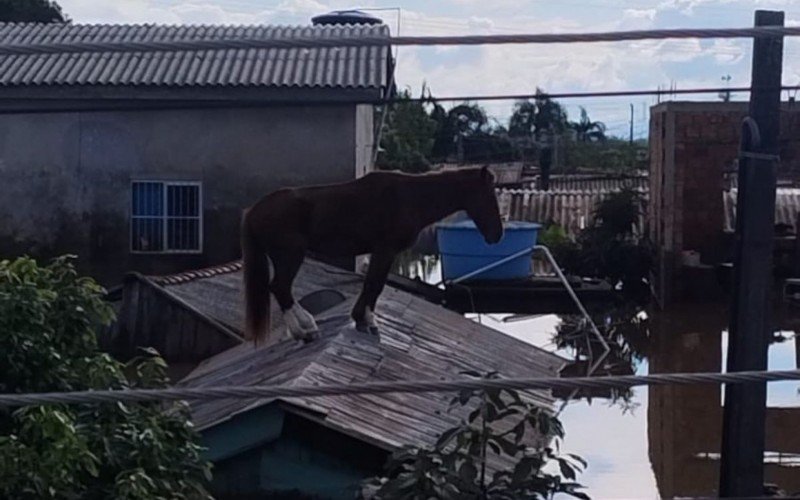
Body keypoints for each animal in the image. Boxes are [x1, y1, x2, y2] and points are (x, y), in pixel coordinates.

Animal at [239, 166, 500, 342]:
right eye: (490, 196)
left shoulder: (382, 252)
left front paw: (361, 319)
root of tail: (253, 210)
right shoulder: (385, 249)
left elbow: (372, 284)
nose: (497, 234)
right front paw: (369, 321)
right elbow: (375, 284)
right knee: (280, 288)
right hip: (290, 256)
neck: (410, 198)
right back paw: (305, 329)